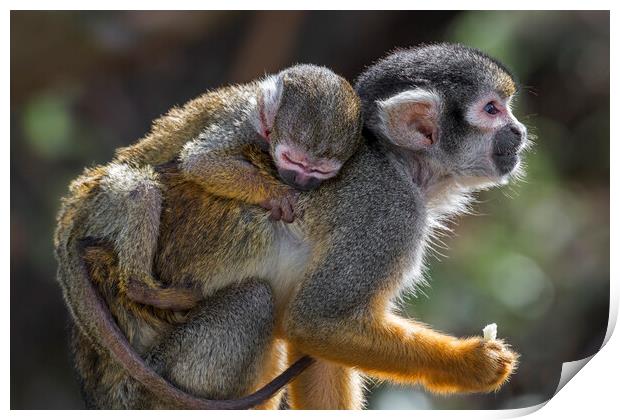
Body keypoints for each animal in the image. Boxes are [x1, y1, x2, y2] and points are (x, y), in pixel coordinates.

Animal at [92, 65, 364, 308]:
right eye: (292, 161)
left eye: (320, 171)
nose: (300, 181)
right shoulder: (242, 124)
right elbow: (199, 161)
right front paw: (278, 195)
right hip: (106, 199)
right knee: (143, 192)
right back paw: (141, 289)